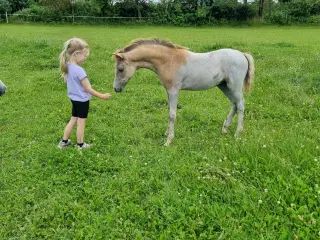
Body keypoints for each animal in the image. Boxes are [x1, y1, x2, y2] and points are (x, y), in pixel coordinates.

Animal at [111, 38, 254, 145]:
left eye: (120, 69)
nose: (116, 89)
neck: (168, 60)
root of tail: (242, 54)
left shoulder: (174, 90)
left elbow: (172, 114)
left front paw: (168, 141)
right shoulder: (168, 91)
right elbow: (169, 111)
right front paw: (166, 133)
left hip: (234, 86)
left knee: (240, 105)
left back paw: (237, 133)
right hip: (224, 86)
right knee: (234, 104)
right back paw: (224, 130)